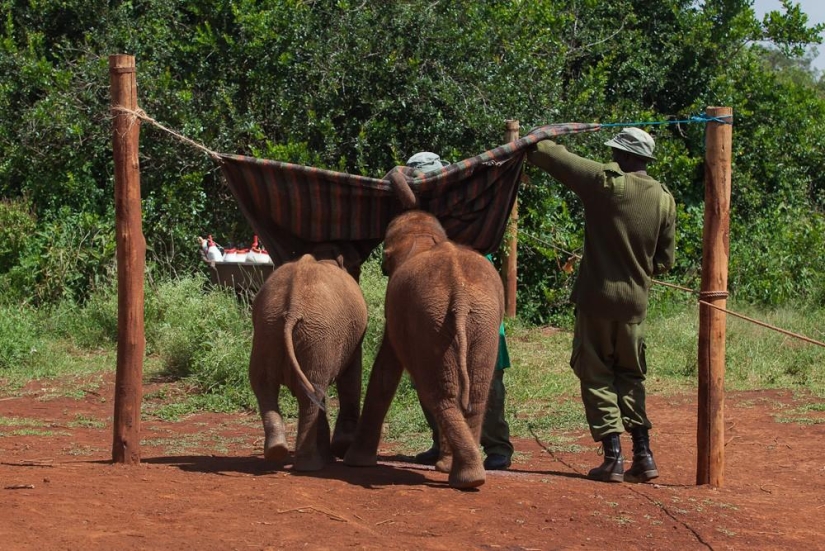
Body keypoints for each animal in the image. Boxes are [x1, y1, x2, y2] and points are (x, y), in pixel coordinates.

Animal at [248, 245, 368, 472]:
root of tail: (293, 307)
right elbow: (351, 375)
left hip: (269, 330)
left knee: (267, 385)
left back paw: (277, 452)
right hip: (314, 335)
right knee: (311, 392)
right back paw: (310, 465)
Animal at [344, 210, 505, 489]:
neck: (425, 236)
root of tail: (460, 294)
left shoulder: (398, 311)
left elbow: (385, 370)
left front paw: (355, 463)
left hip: (437, 319)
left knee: (440, 395)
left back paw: (464, 477)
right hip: (479, 319)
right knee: (472, 394)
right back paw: (467, 476)